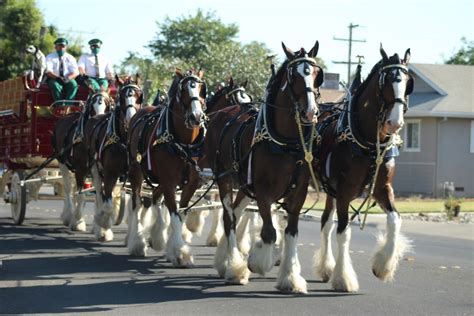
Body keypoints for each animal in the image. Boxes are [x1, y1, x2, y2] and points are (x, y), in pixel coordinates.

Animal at [314, 45, 414, 292]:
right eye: (386, 82)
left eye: (408, 82)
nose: (394, 123)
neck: (368, 143)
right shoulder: (344, 191)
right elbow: (344, 232)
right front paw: (343, 278)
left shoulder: (382, 188)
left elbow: (395, 220)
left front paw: (383, 265)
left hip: (329, 190)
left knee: (325, 223)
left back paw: (325, 267)